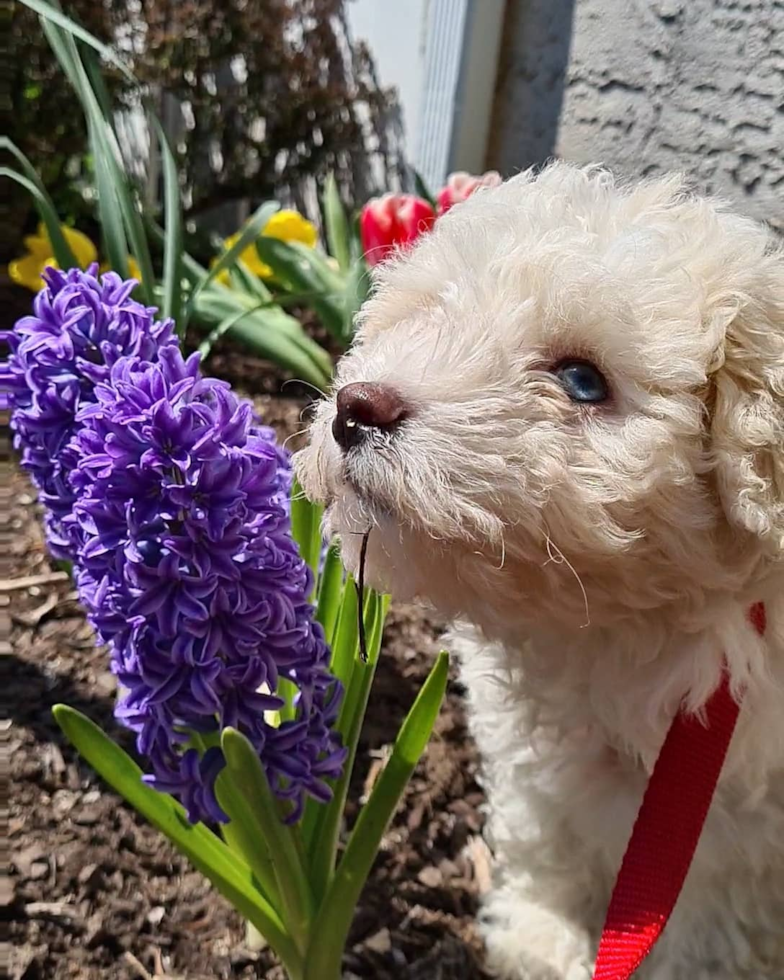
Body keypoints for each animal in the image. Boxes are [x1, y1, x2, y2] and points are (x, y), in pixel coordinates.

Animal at [296, 165, 784, 976]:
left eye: (583, 381)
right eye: (430, 317)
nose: (357, 406)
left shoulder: (737, 834)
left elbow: (704, 932)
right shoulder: (545, 761)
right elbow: (548, 830)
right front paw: (540, 936)